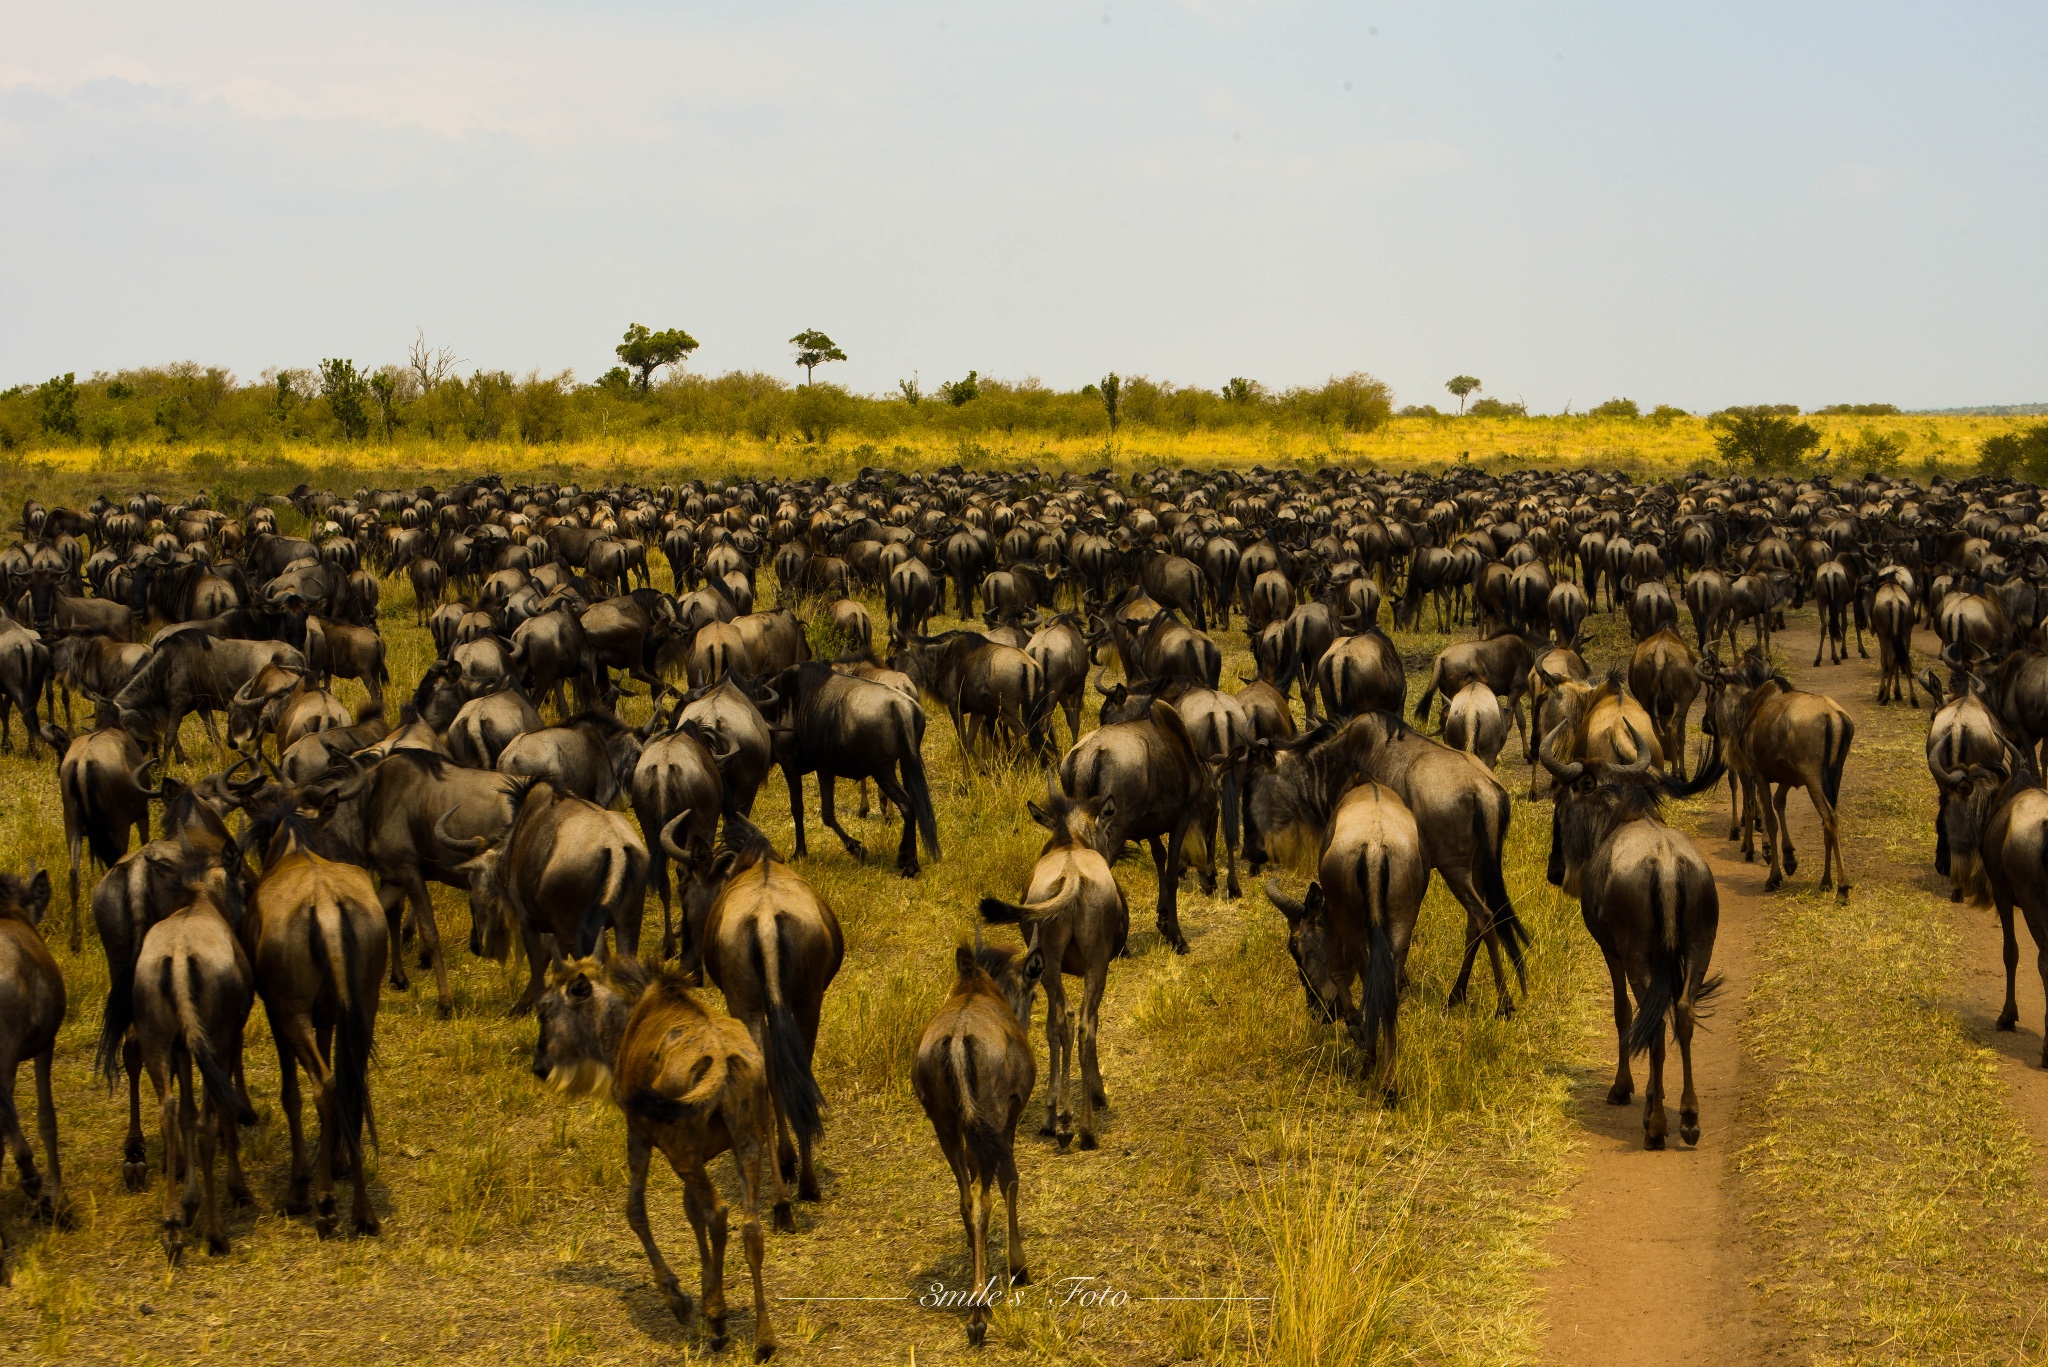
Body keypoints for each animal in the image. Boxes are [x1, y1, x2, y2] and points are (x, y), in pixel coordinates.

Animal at [532, 959, 786, 1360]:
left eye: (544, 1009)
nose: (539, 1064)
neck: (623, 1027)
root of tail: (721, 1062)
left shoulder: (641, 1135)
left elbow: (636, 1210)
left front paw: (679, 1297)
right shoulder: (700, 1155)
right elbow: (692, 1214)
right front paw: (706, 1292)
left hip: (682, 1150)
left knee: (718, 1212)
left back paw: (717, 1323)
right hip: (748, 1140)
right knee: (749, 1227)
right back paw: (763, 1338)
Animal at [913, 942, 1040, 1344]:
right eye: (1033, 993)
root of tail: (956, 1041)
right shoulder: (1007, 1118)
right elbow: (1010, 1181)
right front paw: (1018, 1266)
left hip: (945, 1123)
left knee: (966, 1198)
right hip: (990, 1117)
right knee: (984, 1198)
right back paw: (978, 1308)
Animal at [978, 791, 1130, 1155]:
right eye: (1105, 830)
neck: (1069, 840)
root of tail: (1072, 877)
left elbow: (1052, 1028)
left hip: (1058, 964)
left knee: (1068, 1022)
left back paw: (1067, 1123)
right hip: (1092, 962)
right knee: (1081, 1023)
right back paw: (1080, 1126)